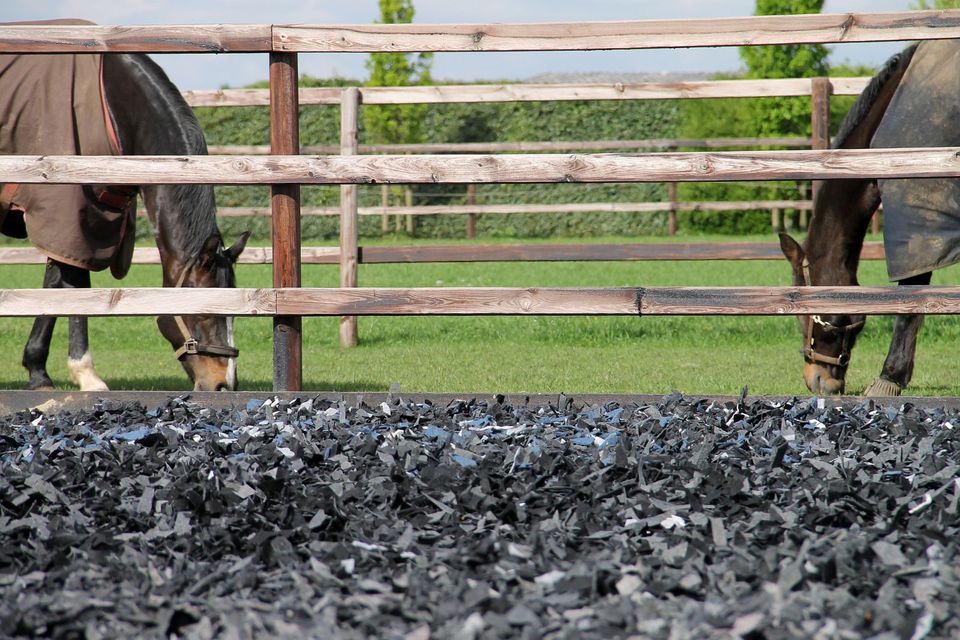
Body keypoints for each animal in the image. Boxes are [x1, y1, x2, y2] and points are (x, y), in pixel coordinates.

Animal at [1, 32, 248, 392]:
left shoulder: (85, 220)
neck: (116, 108)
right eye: (204, 312)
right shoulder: (69, 217)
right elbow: (73, 286)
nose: (223, 384)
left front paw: (39, 370)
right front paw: (82, 375)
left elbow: (57, 283)